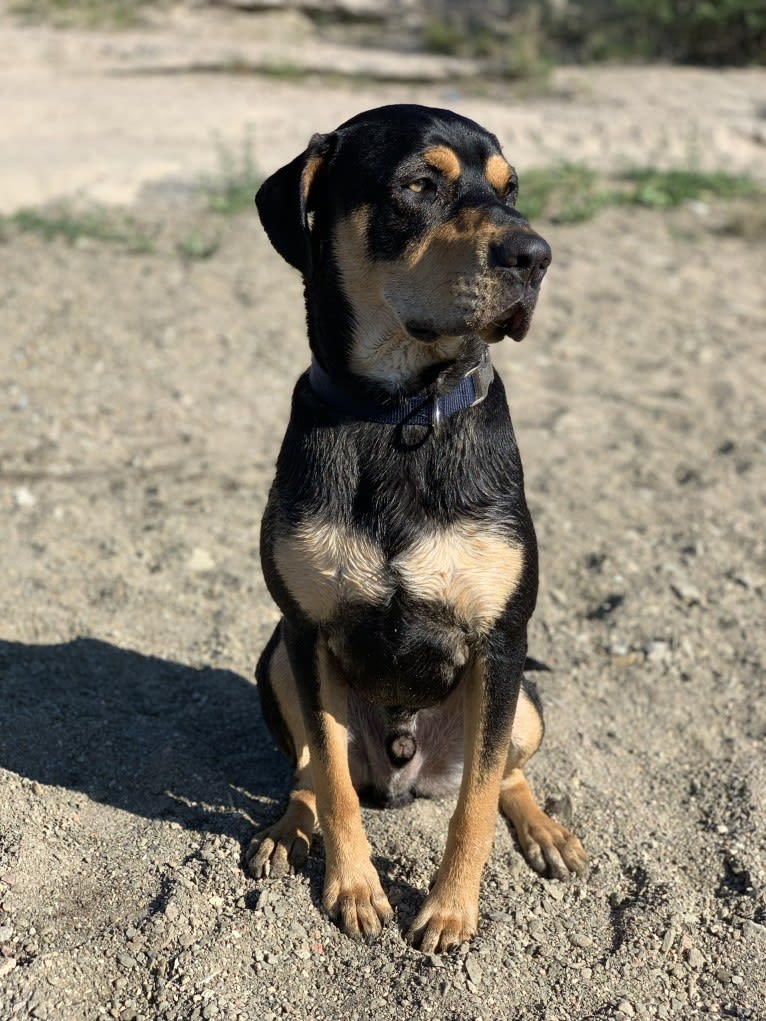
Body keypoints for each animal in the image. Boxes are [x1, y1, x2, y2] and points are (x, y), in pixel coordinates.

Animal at [249, 107, 584, 951]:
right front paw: (355, 888)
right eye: (419, 185)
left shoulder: (500, 639)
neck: (399, 411)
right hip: (274, 660)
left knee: (505, 771)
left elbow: (475, 804)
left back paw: (545, 831)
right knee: (309, 767)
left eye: (510, 189)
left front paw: (450, 910)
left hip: (523, 698)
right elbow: (334, 782)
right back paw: (287, 828)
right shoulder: (306, 632)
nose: (537, 255)